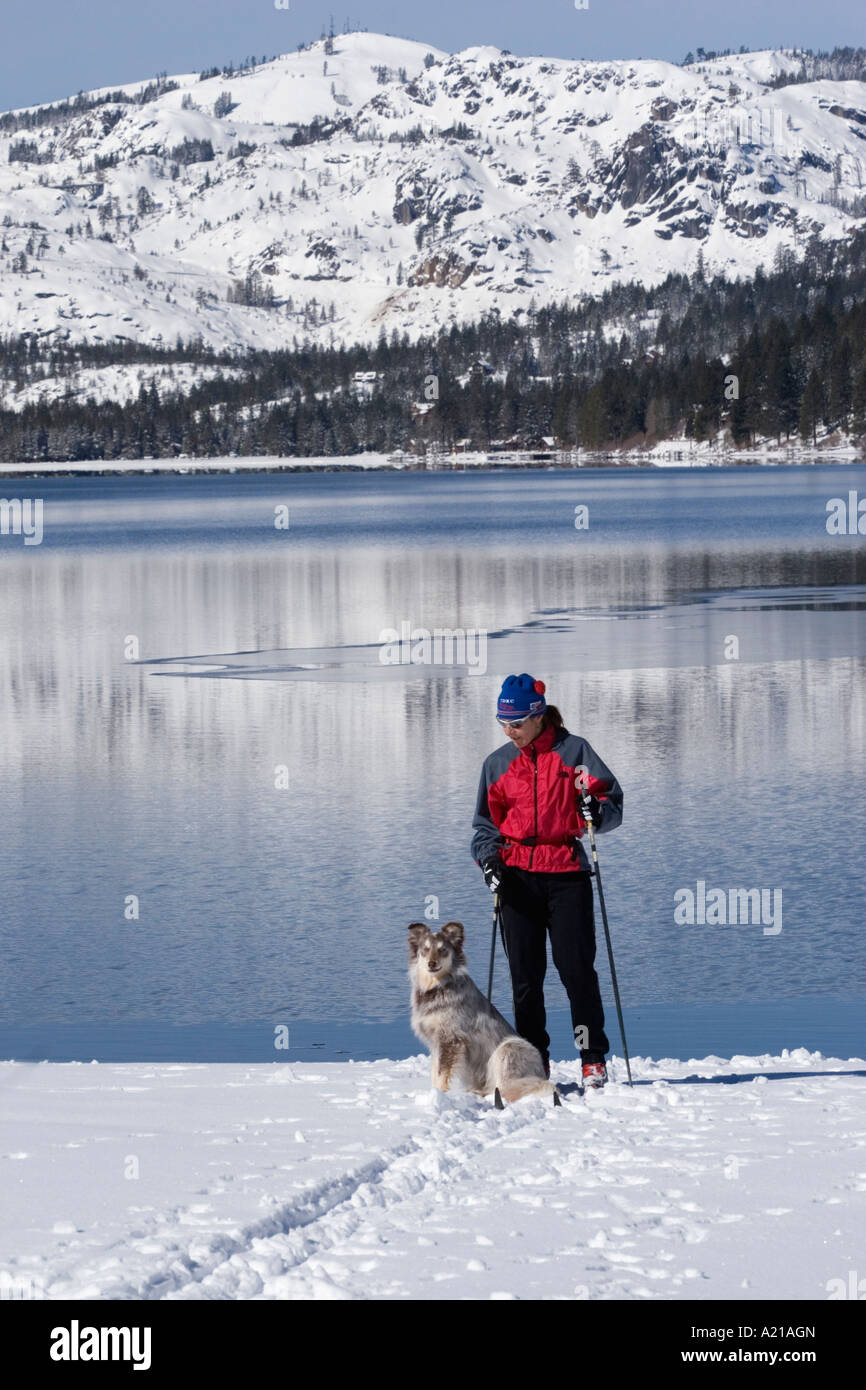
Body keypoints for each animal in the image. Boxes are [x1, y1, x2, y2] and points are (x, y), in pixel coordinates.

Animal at [408, 922, 561, 1106]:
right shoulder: (436, 1043)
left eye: (443, 949)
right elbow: (434, 1072)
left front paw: (440, 1094)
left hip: (507, 1049)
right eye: (425, 950)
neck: (437, 986)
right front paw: (433, 1093)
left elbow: (441, 1074)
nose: (431, 963)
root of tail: (540, 1073)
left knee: (505, 1088)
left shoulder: (450, 1040)